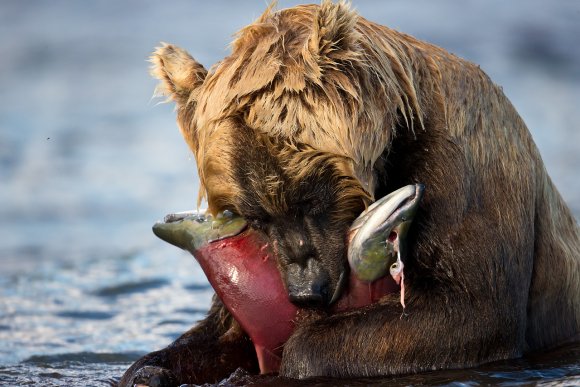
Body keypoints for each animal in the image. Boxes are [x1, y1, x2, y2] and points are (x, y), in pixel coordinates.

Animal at [119, 1, 580, 386]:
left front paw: (287, 358)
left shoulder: (464, 175)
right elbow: (220, 333)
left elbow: (470, 309)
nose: (306, 291)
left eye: (311, 198)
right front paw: (151, 369)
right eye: (256, 216)